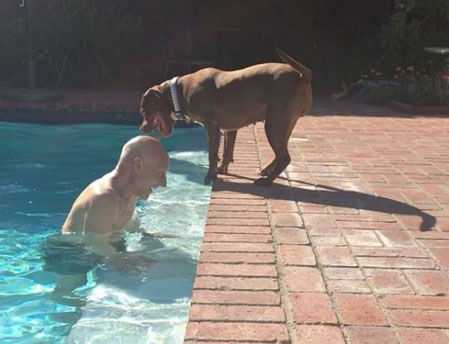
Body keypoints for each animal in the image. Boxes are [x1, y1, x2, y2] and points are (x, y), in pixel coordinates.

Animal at [140, 48, 312, 185]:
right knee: (281, 153)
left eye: (143, 111)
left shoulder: (211, 126)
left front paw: (210, 177)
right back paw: (266, 171)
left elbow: (212, 154)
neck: (178, 93)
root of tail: (301, 75)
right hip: (285, 124)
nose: (141, 129)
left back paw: (266, 181)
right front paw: (222, 168)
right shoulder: (229, 128)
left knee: (284, 157)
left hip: (274, 124)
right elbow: (227, 151)